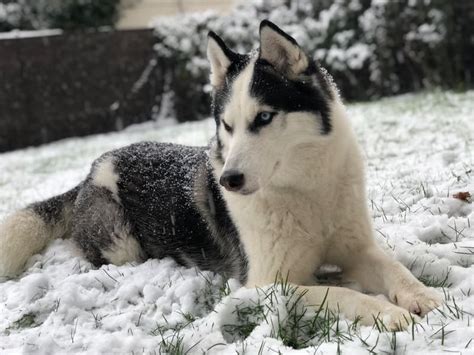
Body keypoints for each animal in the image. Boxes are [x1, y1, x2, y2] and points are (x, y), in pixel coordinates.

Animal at [0, 20, 440, 330]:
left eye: (263, 118)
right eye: (227, 126)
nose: (229, 181)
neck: (304, 189)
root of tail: (92, 169)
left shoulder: (357, 249)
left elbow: (394, 269)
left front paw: (423, 295)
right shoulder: (266, 284)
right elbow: (337, 293)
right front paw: (385, 312)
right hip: (121, 244)